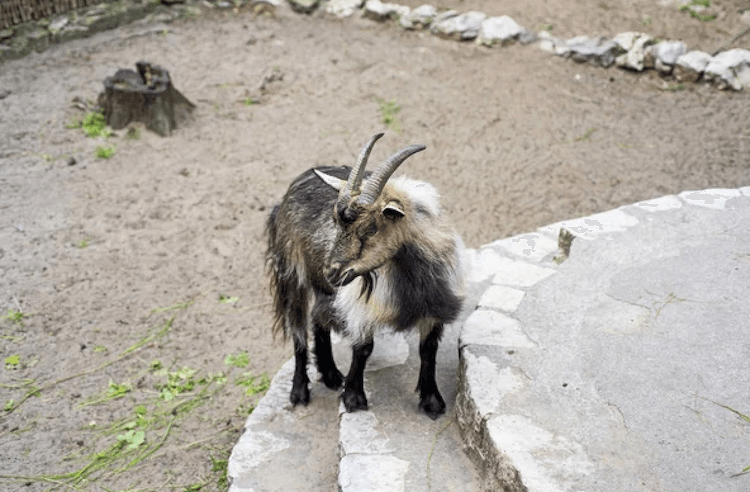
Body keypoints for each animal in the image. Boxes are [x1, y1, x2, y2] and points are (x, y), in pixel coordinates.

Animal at [265, 133, 465, 419]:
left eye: (372, 228)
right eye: (336, 222)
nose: (332, 271)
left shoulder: (434, 308)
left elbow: (428, 349)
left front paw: (432, 401)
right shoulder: (361, 308)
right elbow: (363, 348)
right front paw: (354, 398)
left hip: (321, 286)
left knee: (317, 318)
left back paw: (330, 375)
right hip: (292, 273)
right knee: (298, 329)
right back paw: (299, 391)